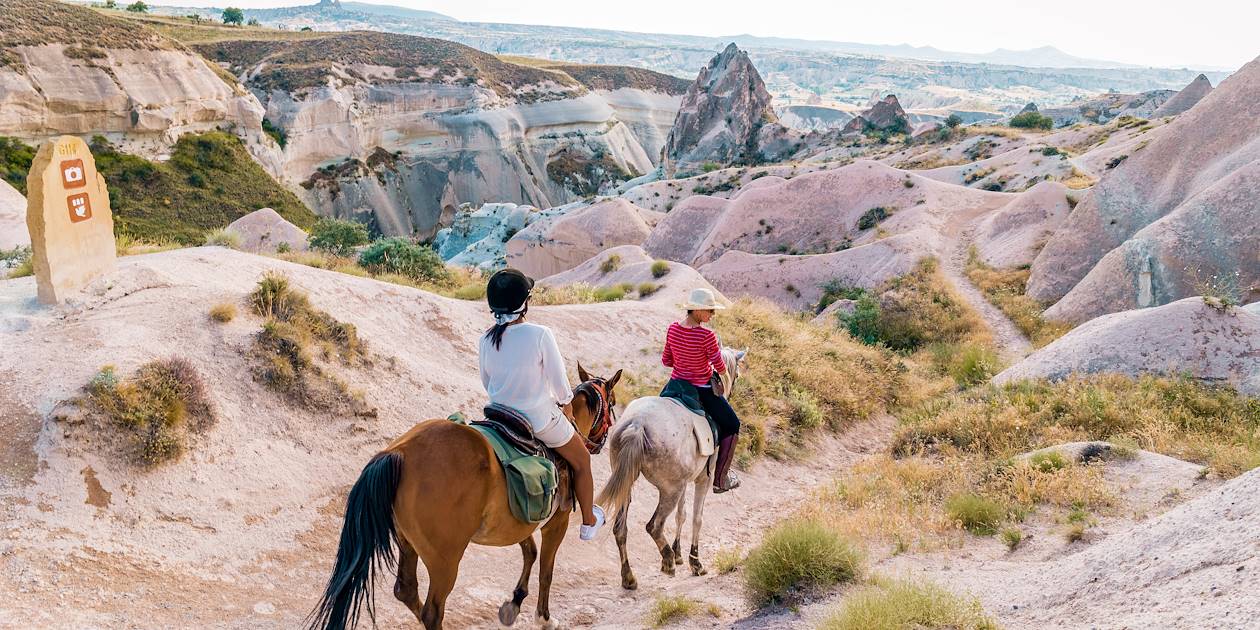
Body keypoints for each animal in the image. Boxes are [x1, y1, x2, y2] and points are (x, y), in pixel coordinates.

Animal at [304, 365, 619, 630]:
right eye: (613, 405)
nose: (599, 443)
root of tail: (400, 452)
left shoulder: (519, 521)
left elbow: (529, 551)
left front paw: (515, 601)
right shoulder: (557, 523)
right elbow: (546, 569)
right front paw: (544, 618)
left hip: (408, 541)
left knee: (406, 590)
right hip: (445, 560)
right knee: (433, 611)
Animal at [594, 347, 740, 587]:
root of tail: (638, 423)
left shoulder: (685, 480)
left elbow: (682, 514)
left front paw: (679, 553)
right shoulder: (703, 479)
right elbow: (696, 518)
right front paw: (694, 562)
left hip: (631, 483)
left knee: (620, 528)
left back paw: (629, 577)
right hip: (670, 489)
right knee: (654, 526)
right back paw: (667, 561)